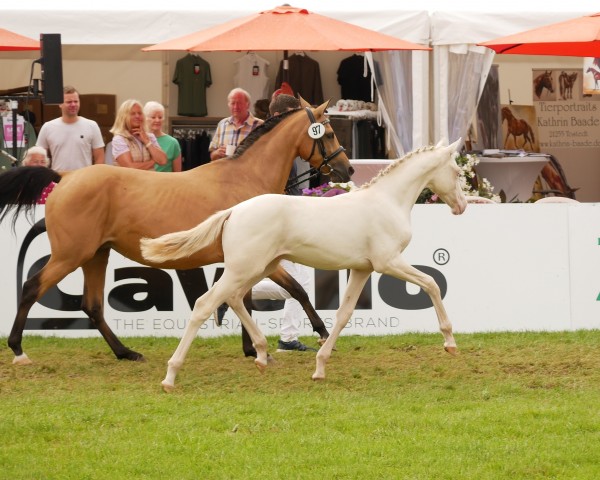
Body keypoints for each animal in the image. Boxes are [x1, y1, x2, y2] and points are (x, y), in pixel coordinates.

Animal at [0, 100, 354, 364]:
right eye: (329, 133)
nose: (347, 169)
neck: (245, 178)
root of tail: (65, 177)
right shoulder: (258, 258)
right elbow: (296, 290)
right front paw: (323, 334)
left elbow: (251, 298)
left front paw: (251, 348)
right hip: (71, 255)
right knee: (32, 288)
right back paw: (18, 349)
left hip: (96, 255)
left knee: (93, 306)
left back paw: (126, 352)